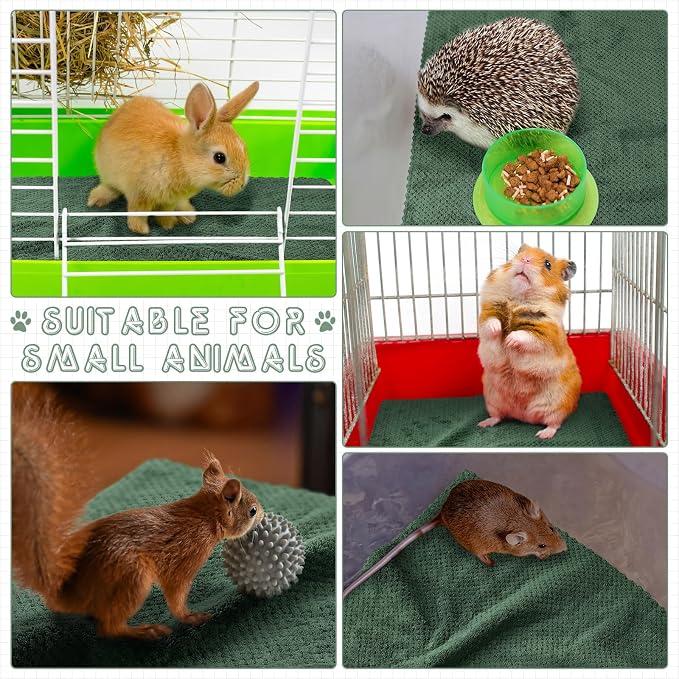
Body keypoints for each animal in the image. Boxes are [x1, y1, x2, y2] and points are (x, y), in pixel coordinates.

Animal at [87, 81, 259, 235]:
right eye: (219, 157)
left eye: (243, 147)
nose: (242, 184)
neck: (181, 158)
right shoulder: (139, 194)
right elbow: (138, 213)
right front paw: (142, 230)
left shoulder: (168, 201)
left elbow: (166, 212)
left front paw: (168, 224)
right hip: (108, 173)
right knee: (110, 187)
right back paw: (95, 200)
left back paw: (188, 214)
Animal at [343, 479, 566, 598]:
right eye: (541, 545)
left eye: (552, 528)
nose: (565, 548)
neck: (516, 520)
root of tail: (441, 514)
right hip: (476, 546)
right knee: (480, 556)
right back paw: (490, 562)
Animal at [477, 244, 582, 440]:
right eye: (519, 253)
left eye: (548, 264)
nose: (525, 259)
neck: (519, 298)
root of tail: (523, 416)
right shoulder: (488, 312)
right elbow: (490, 323)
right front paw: (499, 331)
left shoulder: (545, 332)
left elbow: (526, 336)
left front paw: (509, 340)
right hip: (493, 400)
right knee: (498, 416)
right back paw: (484, 424)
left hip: (557, 403)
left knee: (555, 422)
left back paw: (543, 434)